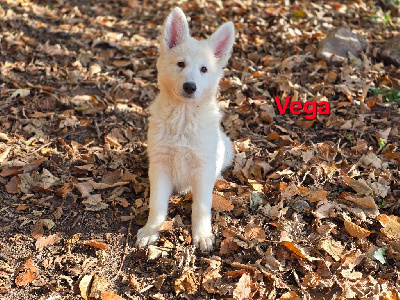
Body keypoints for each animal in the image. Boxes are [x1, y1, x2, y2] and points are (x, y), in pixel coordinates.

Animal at [138, 7, 234, 251]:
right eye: (180, 64)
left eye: (204, 69)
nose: (190, 87)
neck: (182, 117)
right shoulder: (160, 165)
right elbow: (157, 204)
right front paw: (151, 230)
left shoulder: (202, 168)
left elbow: (201, 207)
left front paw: (202, 235)